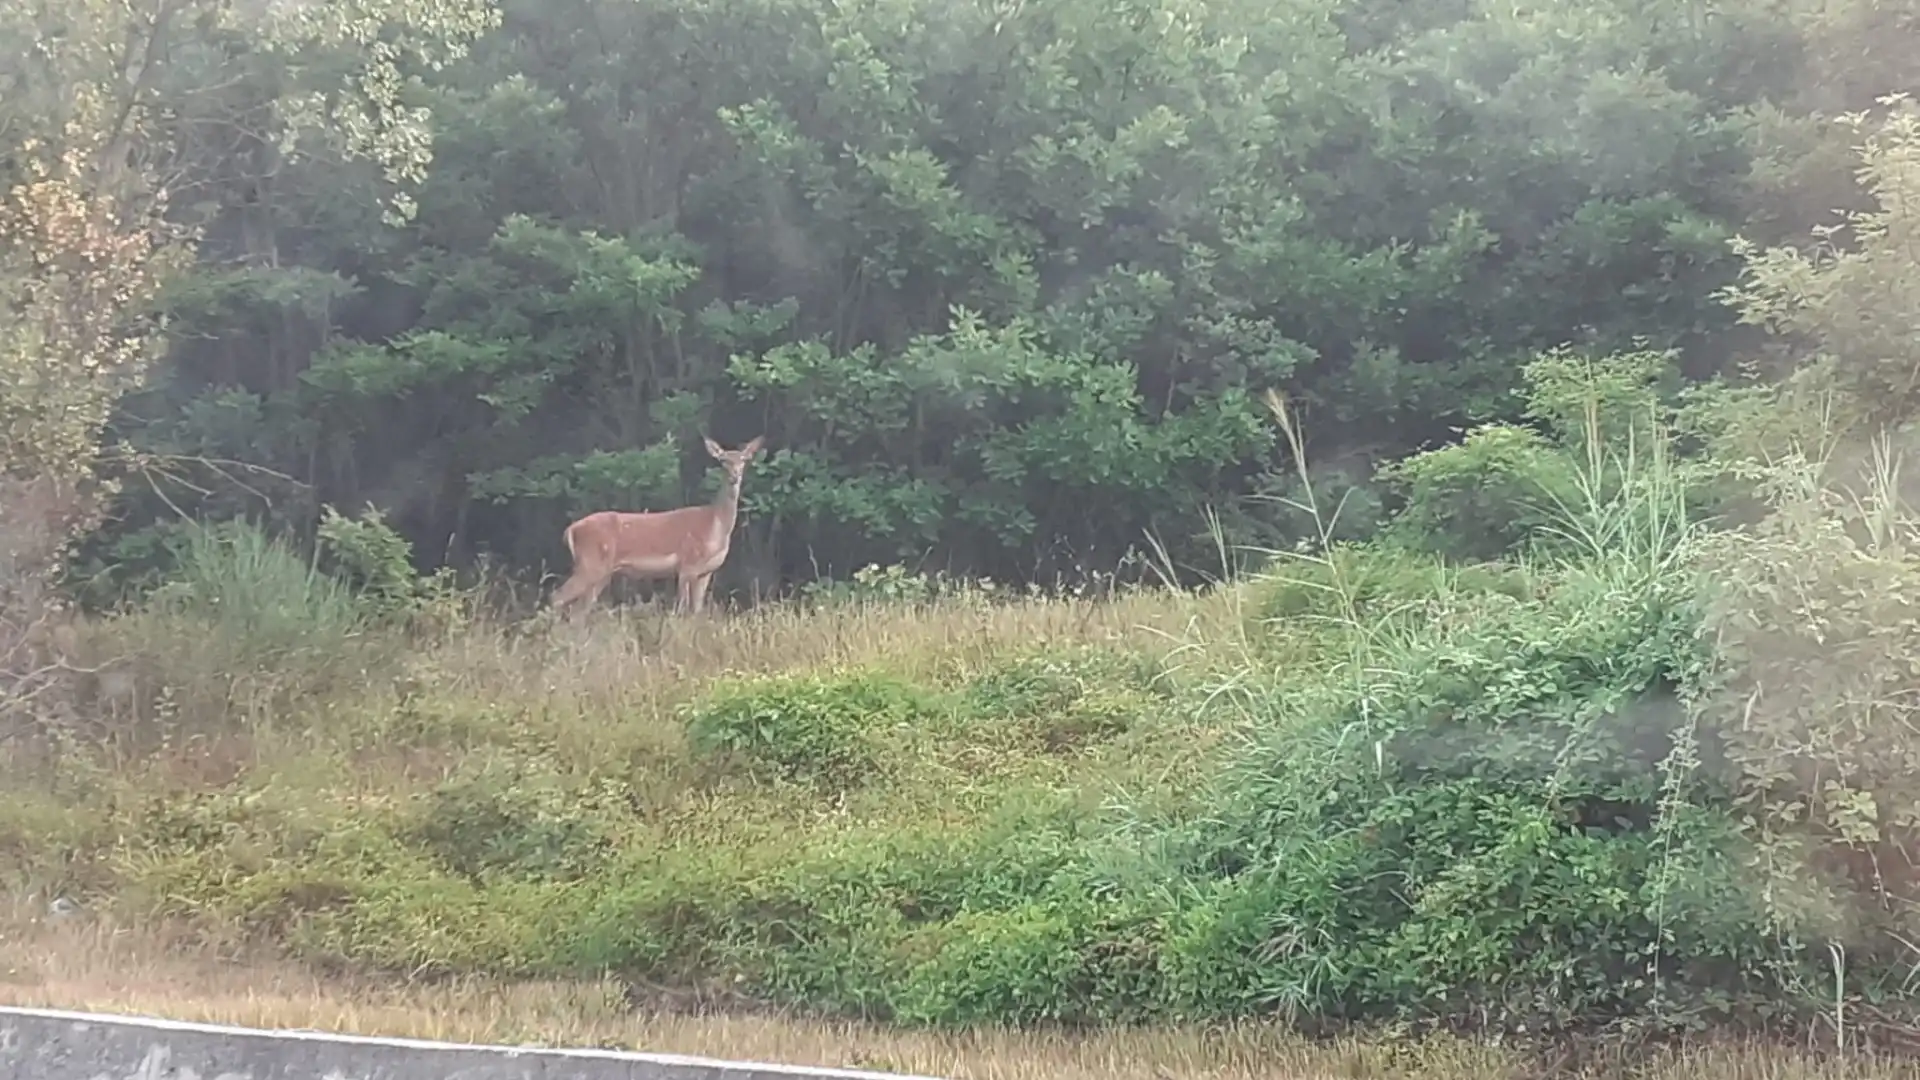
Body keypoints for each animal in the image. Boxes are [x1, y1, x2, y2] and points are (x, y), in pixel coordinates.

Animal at [549, 428, 764, 614]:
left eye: (744, 460)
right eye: (722, 460)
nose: (735, 476)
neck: (715, 526)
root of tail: (571, 530)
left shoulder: (706, 572)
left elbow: (697, 611)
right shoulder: (687, 564)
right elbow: (681, 608)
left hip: (601, 572)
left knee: (579, 608)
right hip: (591, 563)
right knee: (558, 597)